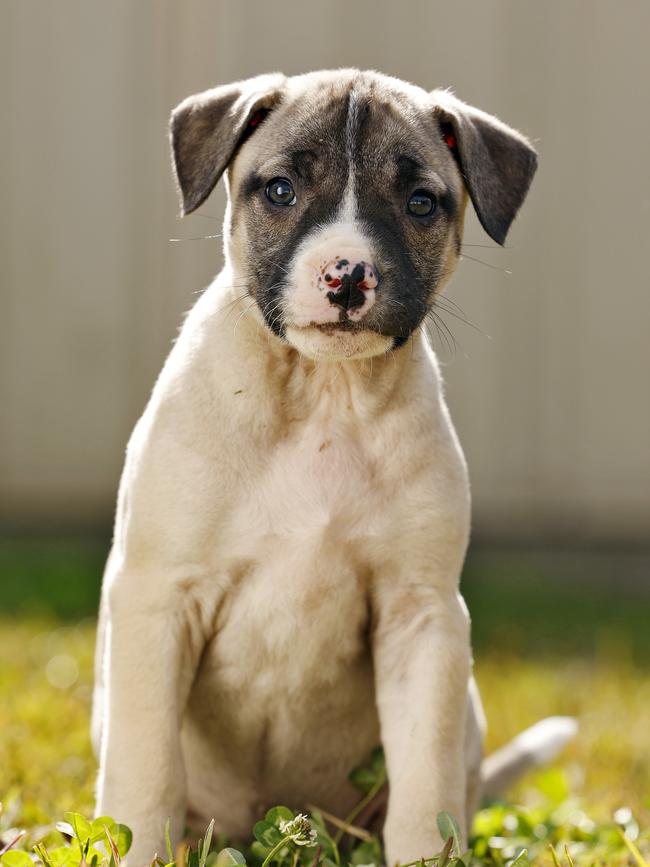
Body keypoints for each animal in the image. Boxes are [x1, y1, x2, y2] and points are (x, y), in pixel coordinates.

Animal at [92, 69, 560, 867]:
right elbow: (146, 767)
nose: (347, 276)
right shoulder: (157, 596)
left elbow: (426, 783)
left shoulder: (421, 616)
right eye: (280, 190)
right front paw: (140, 850)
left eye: (421, 202)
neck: (321, 396)